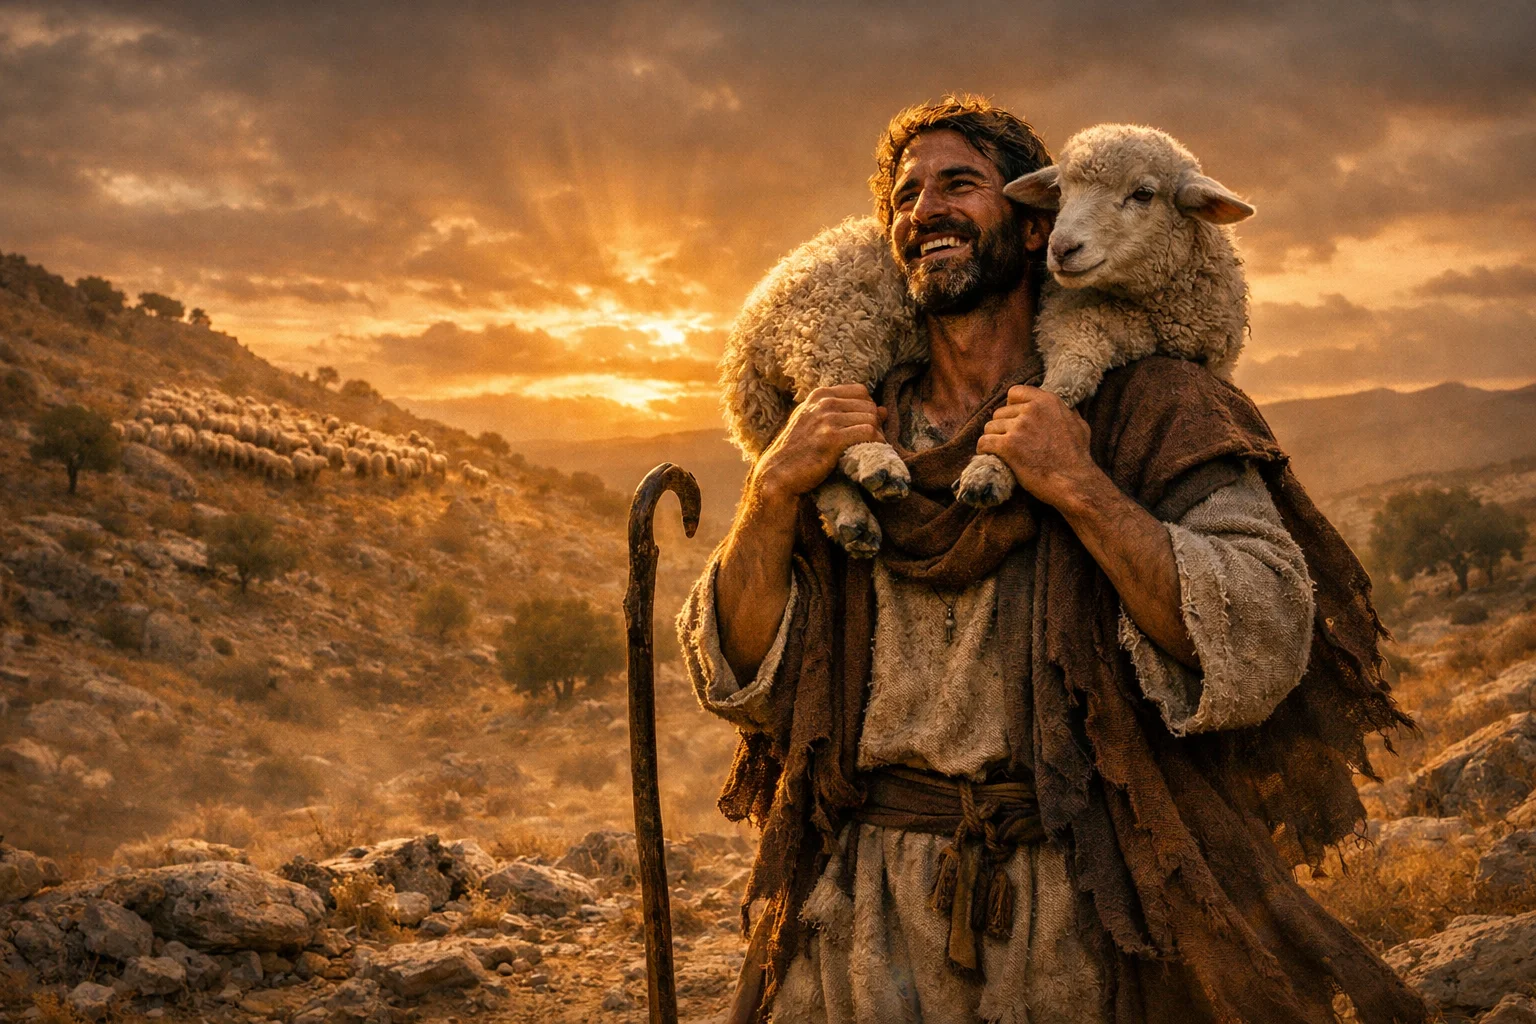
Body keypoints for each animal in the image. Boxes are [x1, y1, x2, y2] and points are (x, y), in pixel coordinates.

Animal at [718, 123, 1254, 554]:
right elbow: (1062, 386)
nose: (1062, 249)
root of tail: (748, 336)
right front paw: (991, 470)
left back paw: (852, 519)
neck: (1154, 305)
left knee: (812, 462)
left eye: (1144, 193)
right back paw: (879, 466)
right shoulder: (1070, 320)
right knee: (835, 415)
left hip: (776, 400)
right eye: (1060, 192)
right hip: (831, 337)